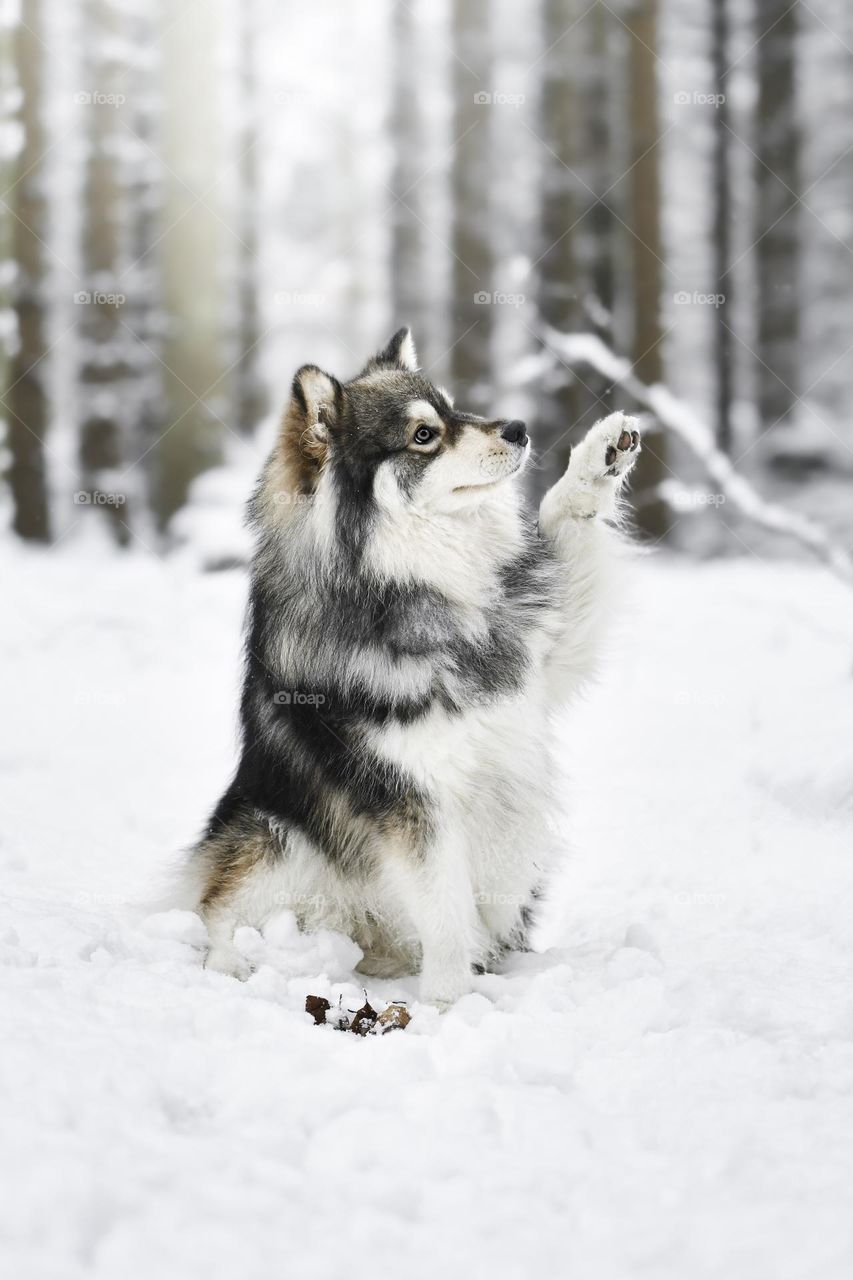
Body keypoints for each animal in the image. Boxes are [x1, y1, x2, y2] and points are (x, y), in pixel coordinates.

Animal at [185, 330, 637, 1008]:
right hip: (275, 840)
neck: (422, 584)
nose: (518, 428)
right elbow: (446, 912)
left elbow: (566, 519)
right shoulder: (411, 804)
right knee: (215, 910)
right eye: (424, 434)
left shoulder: (546, 656)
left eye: (454, 408)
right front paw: (452, 1003)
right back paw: (238, 965)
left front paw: (598, 458)